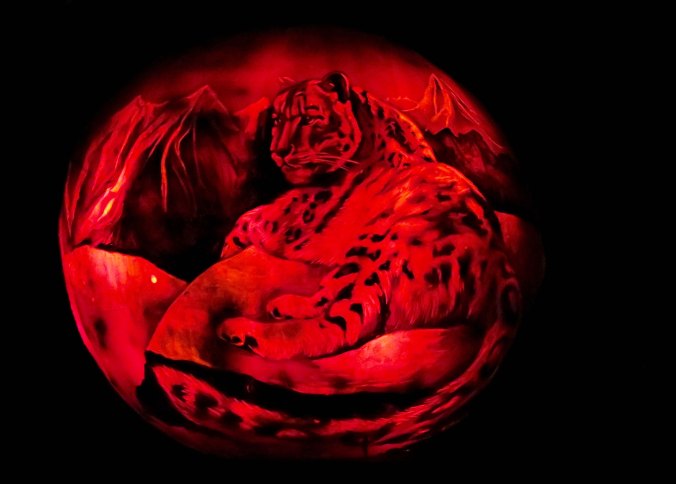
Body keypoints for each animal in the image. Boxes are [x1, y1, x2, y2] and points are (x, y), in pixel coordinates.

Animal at [218, 72, 520, 360]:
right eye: (278, 119)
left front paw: (225, 250)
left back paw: (238, 329)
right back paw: (283, 304)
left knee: (335, 326)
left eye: (309, 117)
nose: (278, 151)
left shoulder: (291, 220)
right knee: (327, 300)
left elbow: (247, 220)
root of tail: (499, 262)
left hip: (374, 252)